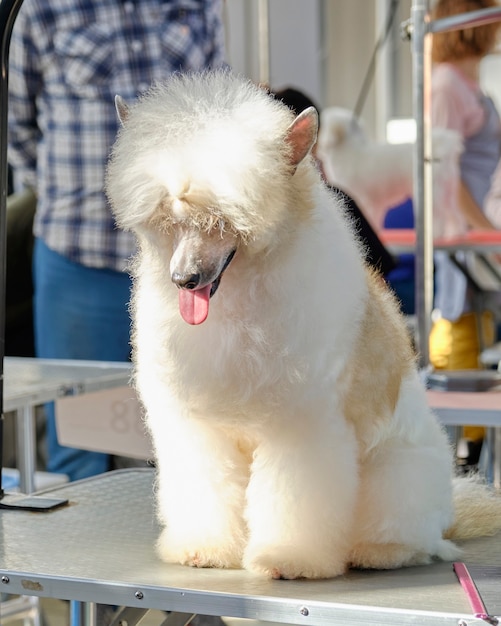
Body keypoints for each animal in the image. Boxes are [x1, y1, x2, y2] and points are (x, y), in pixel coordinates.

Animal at [314, 106, 462, 235]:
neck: (348, 149)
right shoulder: (376, 204)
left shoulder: (365, 199)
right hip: (447, 192)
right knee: (454, 215)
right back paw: (455, 234)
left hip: (432, 194)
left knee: (438, 217)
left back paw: (436, 233)